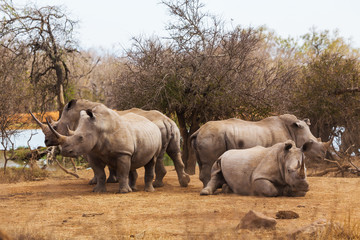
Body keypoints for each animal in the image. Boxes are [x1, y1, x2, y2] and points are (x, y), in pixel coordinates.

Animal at [29, 99, 190, 188]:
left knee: (159, 156)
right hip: (172, 127)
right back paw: (184, 182)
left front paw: (96, 182)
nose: (46, 141)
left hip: (158, 129)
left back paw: (158, 184)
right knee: (174, 152)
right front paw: (114, 180)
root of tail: (166, 120)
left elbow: (98, 166)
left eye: (55, 127)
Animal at [191, 114, 332, 188]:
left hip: (206, 137)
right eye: (311, 142)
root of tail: (198, 131)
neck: (294, 130)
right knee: (209, 163)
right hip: (212, 137)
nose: (323, 156)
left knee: (203, 163)